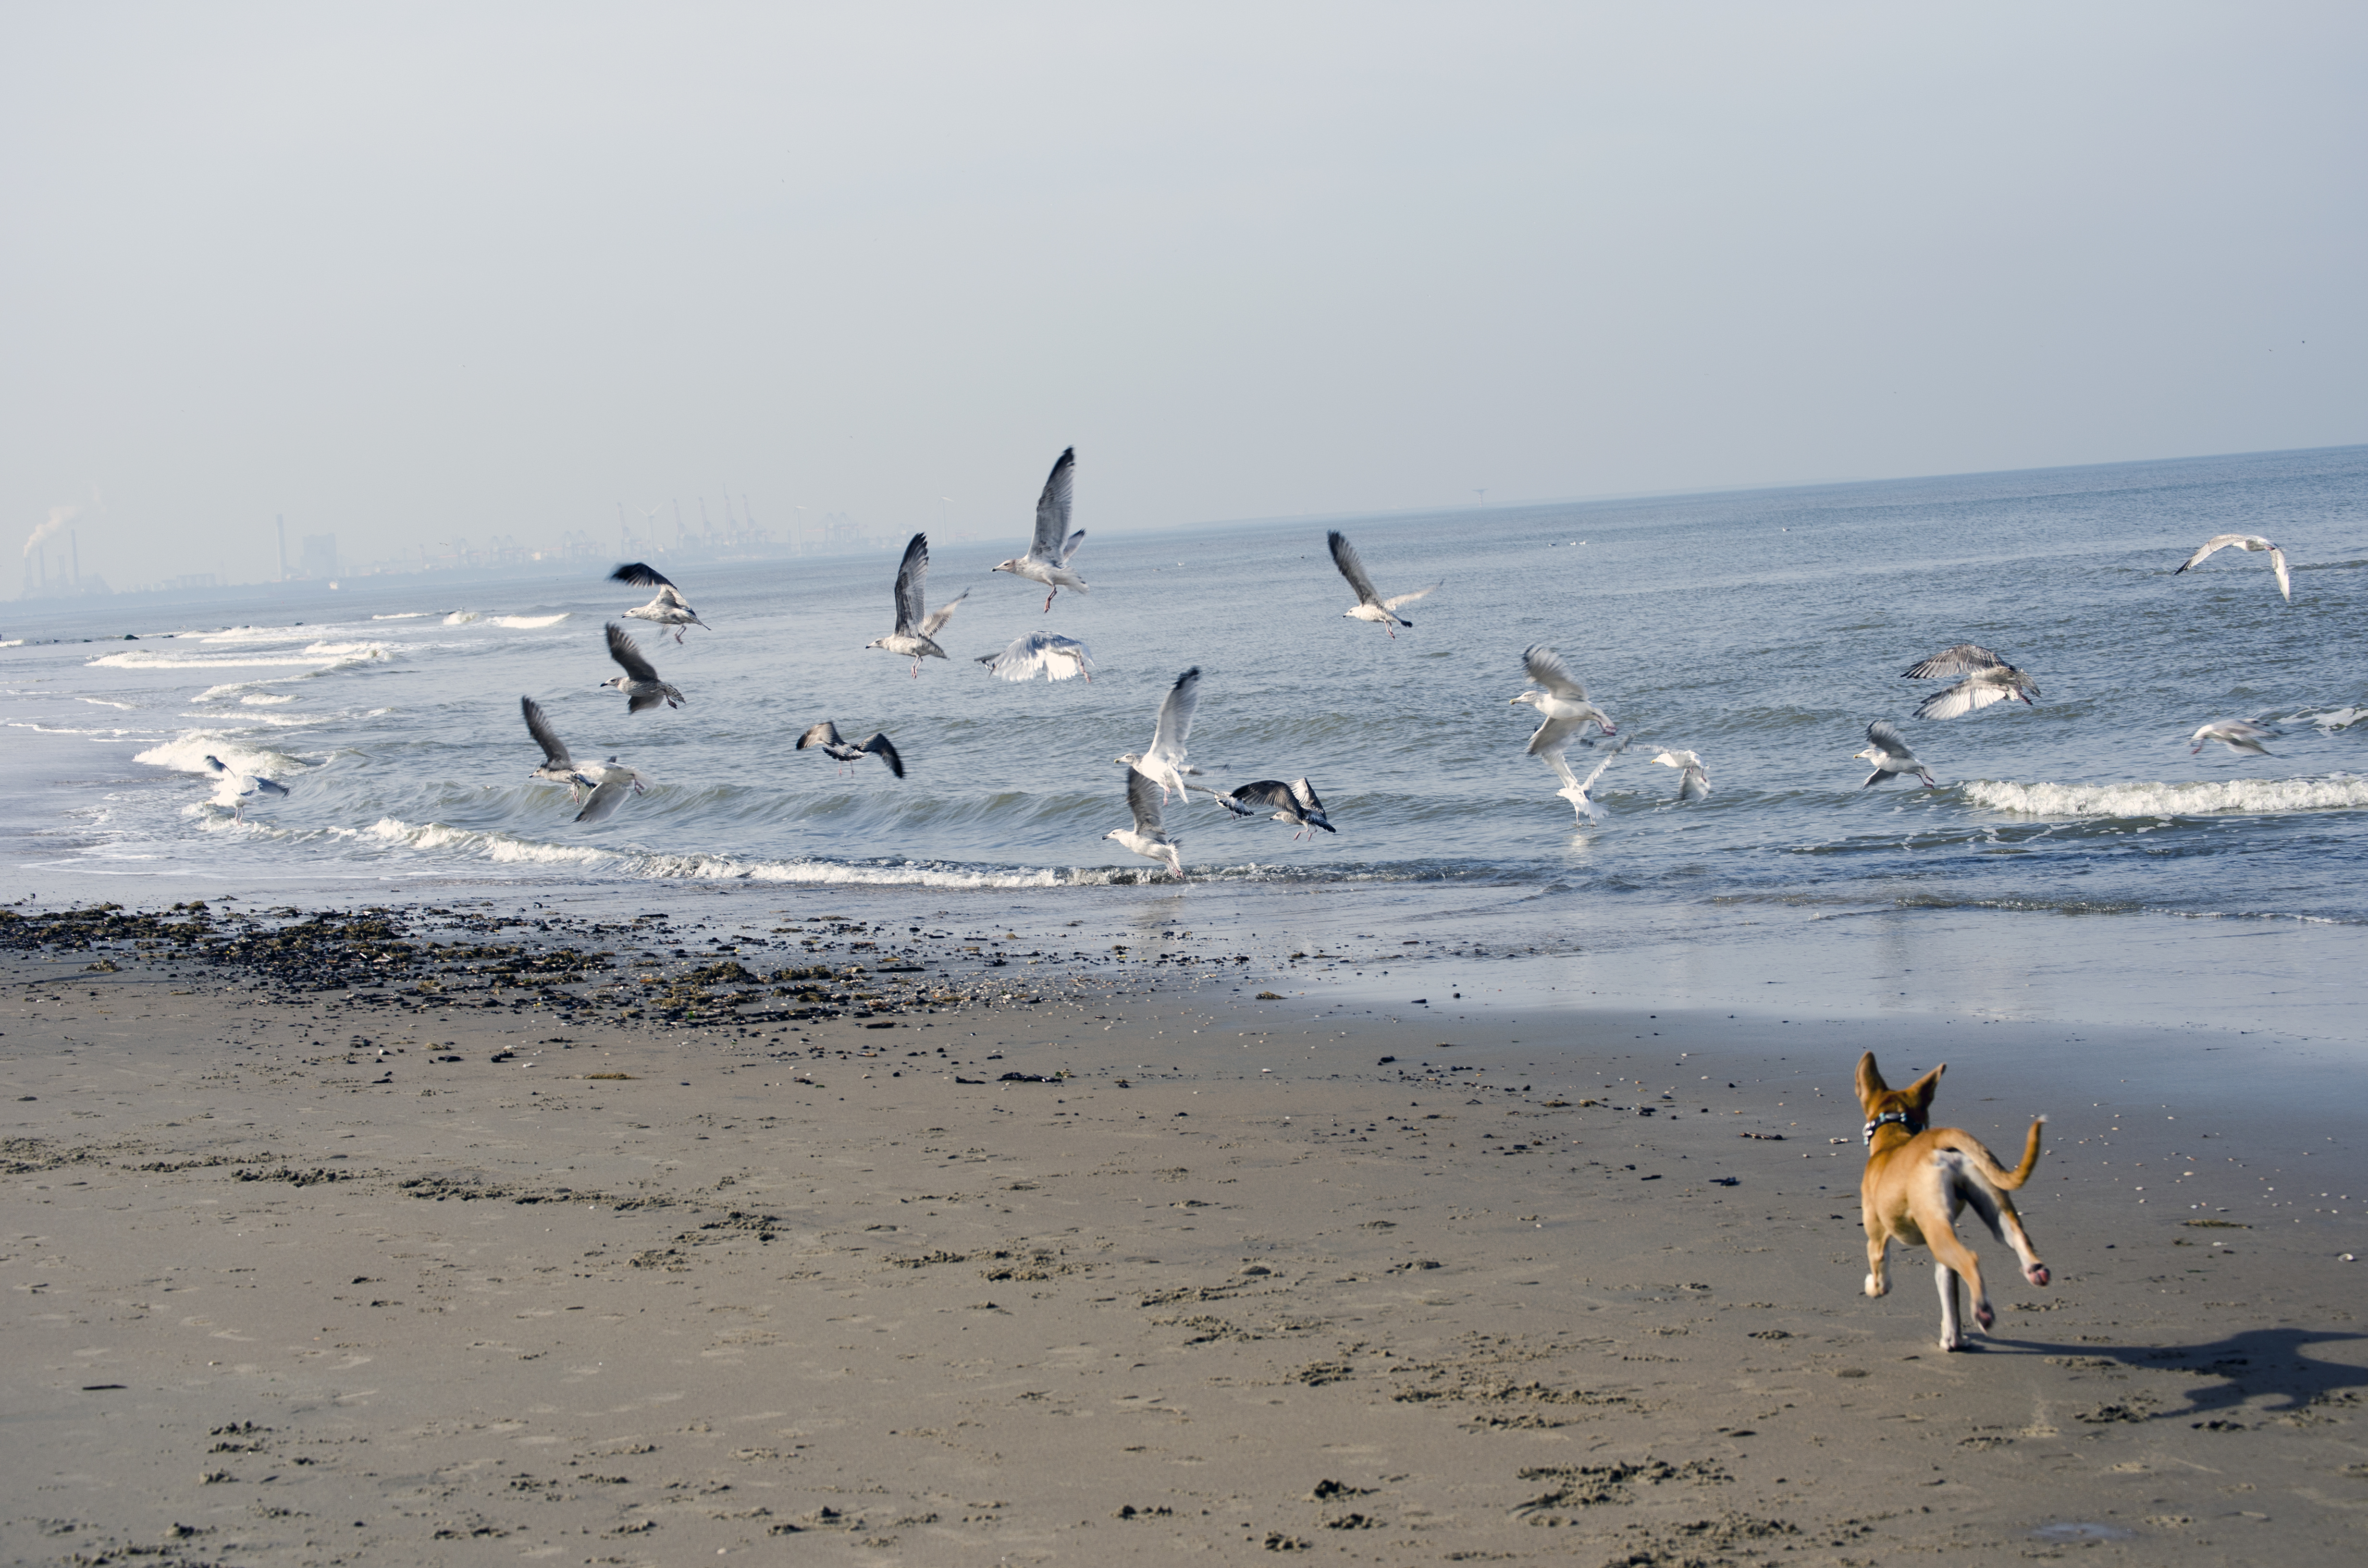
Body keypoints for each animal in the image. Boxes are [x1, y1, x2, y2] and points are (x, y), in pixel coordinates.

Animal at [1856, 1056, 2046, 1355]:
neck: (1893, 1139)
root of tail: (1938, 1140)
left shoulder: (1876, 1241)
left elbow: (1881, 1281)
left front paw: (1871, 1287)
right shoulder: (1942, 1262)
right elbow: (1949, 1294)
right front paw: (1953, 1338)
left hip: (1936, 1231)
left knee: (1970, 1260)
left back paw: (1983, 1311)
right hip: (1987, 1208)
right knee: (2016, 1236)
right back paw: (2034, 1270)